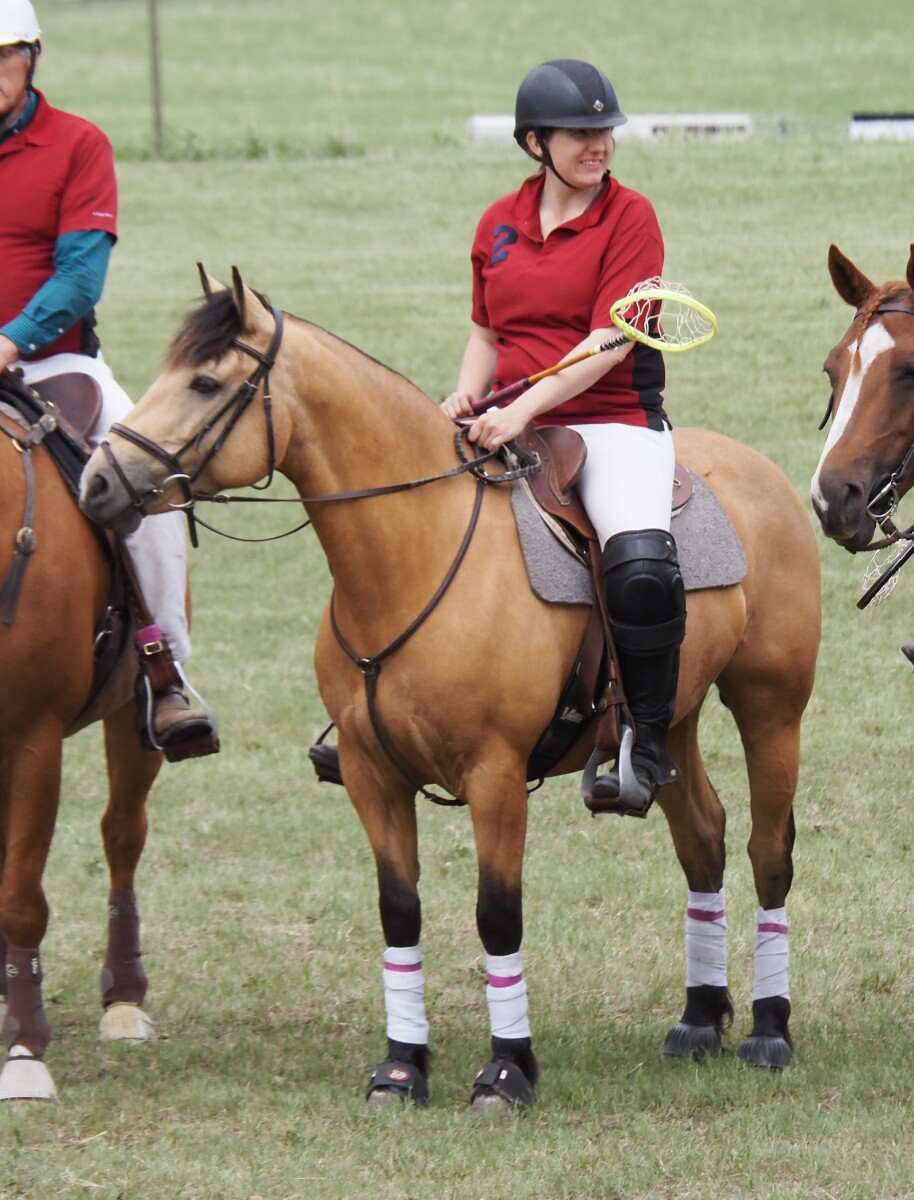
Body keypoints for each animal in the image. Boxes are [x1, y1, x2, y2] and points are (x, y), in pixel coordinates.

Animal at [78, 272, 820, 1104]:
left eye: (205, 382)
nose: (96, 482)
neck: (414, 553)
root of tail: (756, 466)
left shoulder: (494, 774)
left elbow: (498, 915)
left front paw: (507, 1069)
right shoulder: (371, 772)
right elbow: (399, 911)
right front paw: (402, 1066)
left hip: (772, 704)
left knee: (768, 847)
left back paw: (768, 1030)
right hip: (677, 715)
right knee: (702, 834)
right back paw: (698, 1019)